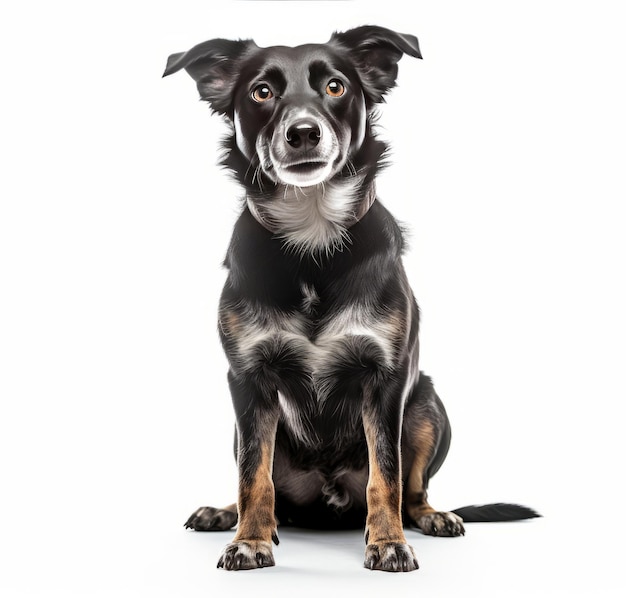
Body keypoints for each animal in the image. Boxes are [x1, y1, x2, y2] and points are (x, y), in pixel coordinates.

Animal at [162, 25, 536, 576]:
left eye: (336, 86)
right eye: (261, 91)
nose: (303, 132)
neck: (312, 238)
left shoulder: (385, 381)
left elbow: (388, 475)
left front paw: (388, 543)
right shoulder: (248, 380)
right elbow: (253, 476)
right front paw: (249, 540)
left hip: (428, 408)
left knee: (413, 490)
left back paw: (431, 516)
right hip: (241, 424)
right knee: (263, 481)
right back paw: (228, 514)